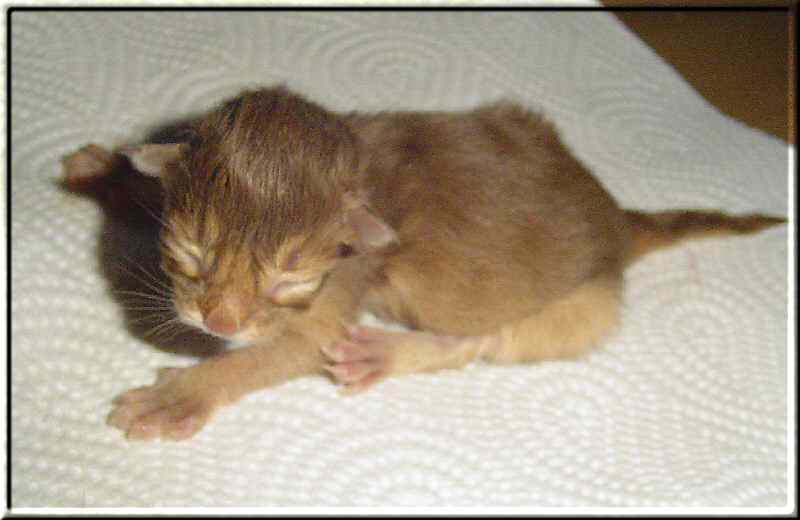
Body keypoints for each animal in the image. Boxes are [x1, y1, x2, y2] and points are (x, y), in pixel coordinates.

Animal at [64, 86, 788, 442]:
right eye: (190, 250)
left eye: (289, 276)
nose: (217, 321)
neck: (359, 165)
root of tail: (617, 219)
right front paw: (109, 169)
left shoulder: (341, 286)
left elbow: (270, 355)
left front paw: (179, 395)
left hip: (572, 305)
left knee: (480, 340)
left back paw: (385, 351)